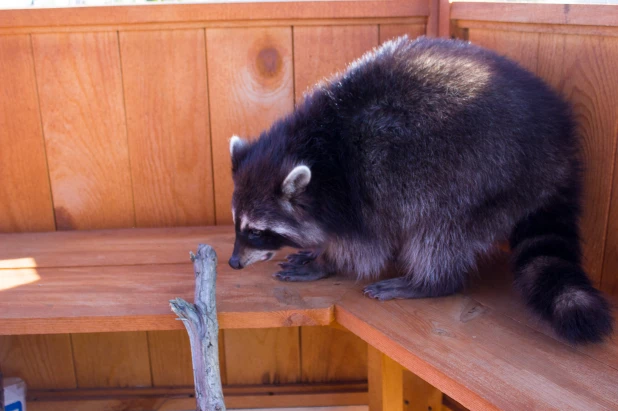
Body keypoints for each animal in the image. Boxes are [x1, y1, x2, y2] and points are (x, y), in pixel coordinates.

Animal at [226, 34, 612, 344]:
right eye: (237, 224)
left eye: (257, 231)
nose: (233, 263)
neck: (315, 146)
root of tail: (559, 148)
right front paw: (318, 249)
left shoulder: (360, 191)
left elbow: (365, 249)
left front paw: (328, 261)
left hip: (485, 171)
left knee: (441, 229)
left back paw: (430, 281)